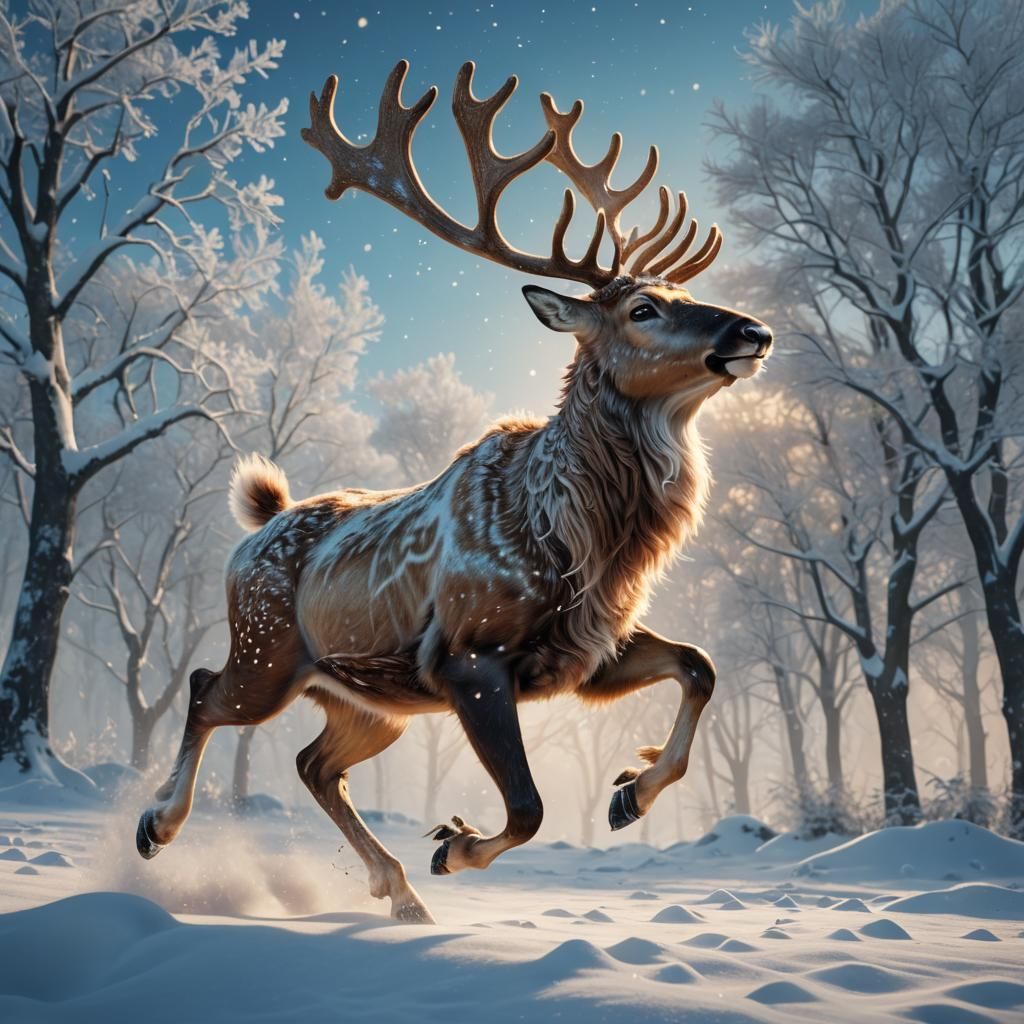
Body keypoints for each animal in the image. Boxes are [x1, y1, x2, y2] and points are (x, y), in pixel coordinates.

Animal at [135, 60, 772, 925]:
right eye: (644, 307)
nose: (752, 332)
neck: (577, 541)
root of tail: (259, 522)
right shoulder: (470, 655)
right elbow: (530, 807)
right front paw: (455, 845)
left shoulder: (585, 647)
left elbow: (699, 665)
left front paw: (628, 795)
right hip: (268, 650)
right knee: (207, 692)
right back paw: (156, 826)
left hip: (372, 702)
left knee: (312, 762)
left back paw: (399, 893)